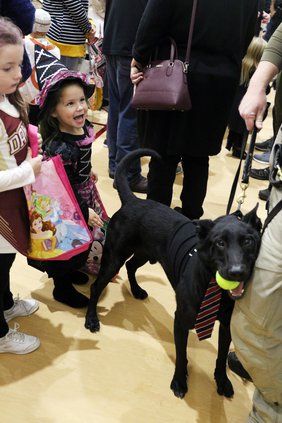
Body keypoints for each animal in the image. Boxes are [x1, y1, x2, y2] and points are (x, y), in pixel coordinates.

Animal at [84, 150, 262, 400]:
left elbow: (220, 358)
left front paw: (222, 381)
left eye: (248, 241)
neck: (212, 285)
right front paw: (179, 381)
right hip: (113, 259)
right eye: (220, 243)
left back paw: (136, 290)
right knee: (96, 286)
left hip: (145, 253)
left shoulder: (226, 326)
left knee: (131, 267)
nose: (237, 272)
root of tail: (134, 200)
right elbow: (181, 356)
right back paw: (91, 319)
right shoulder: (182, 321)